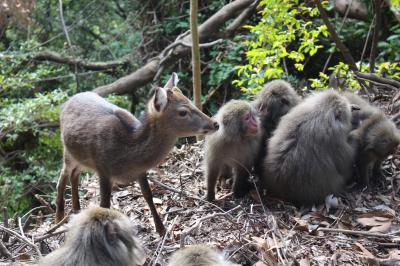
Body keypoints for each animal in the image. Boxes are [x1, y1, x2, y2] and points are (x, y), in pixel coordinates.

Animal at [55, 73, 219, 235]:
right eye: (183, 112)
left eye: (190, 101)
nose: (215, 123)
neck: (127, 158)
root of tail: (66, 103)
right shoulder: (103, 169)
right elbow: (104, 205)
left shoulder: (140, 171)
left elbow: (148, 195)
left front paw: (161, 229)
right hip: (67, 152)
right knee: (62, 177)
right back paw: (59, 218)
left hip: (80, 158)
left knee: (74, 175)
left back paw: (76, 210)